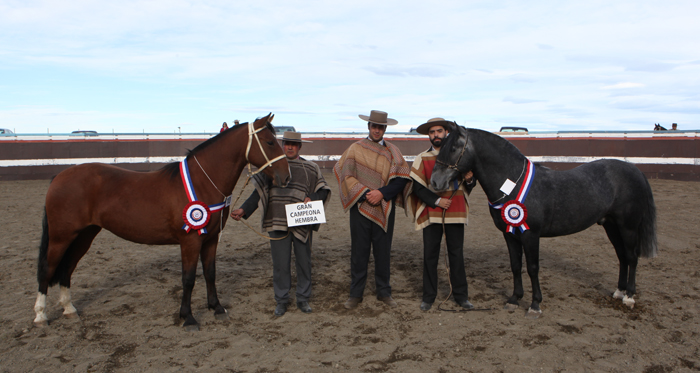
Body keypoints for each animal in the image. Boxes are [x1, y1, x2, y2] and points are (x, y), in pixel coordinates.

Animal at [34, 113, 292, 328]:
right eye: (270, 142)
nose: (286, 176)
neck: (202, 182)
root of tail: (60, 176)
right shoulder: (190, 241)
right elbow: (188, 279)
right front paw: (188, 317)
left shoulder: (210, 239)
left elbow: (210, 273)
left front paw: (217, 308)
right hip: (61, 237)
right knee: (48, 269)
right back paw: (40, 316)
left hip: (84, 235)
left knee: (67, 269)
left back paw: (69, 309)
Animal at [432, 125, 656, 316]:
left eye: (453, 148)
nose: (435, 181)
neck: (512, 183)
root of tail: (635, 170)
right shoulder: (509, 234)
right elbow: (515, 265)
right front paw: (514, 299)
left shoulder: (531, 235)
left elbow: (532, 268)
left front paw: (534, 305)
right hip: (611, 225)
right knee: (622, 257)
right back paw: (619, 292)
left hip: (628, 227)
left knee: (631, 257)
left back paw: (629, 296)